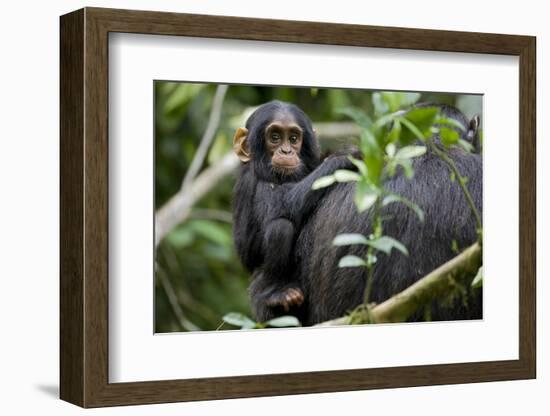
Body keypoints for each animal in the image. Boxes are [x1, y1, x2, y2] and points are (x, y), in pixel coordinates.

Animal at [232, 99, 358, 320]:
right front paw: (344, 156)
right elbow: (285, 205)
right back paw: (274, 293)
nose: (286, 151)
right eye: (274, 137)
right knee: (280, 228)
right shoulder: (263, 181)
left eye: (293, 138)